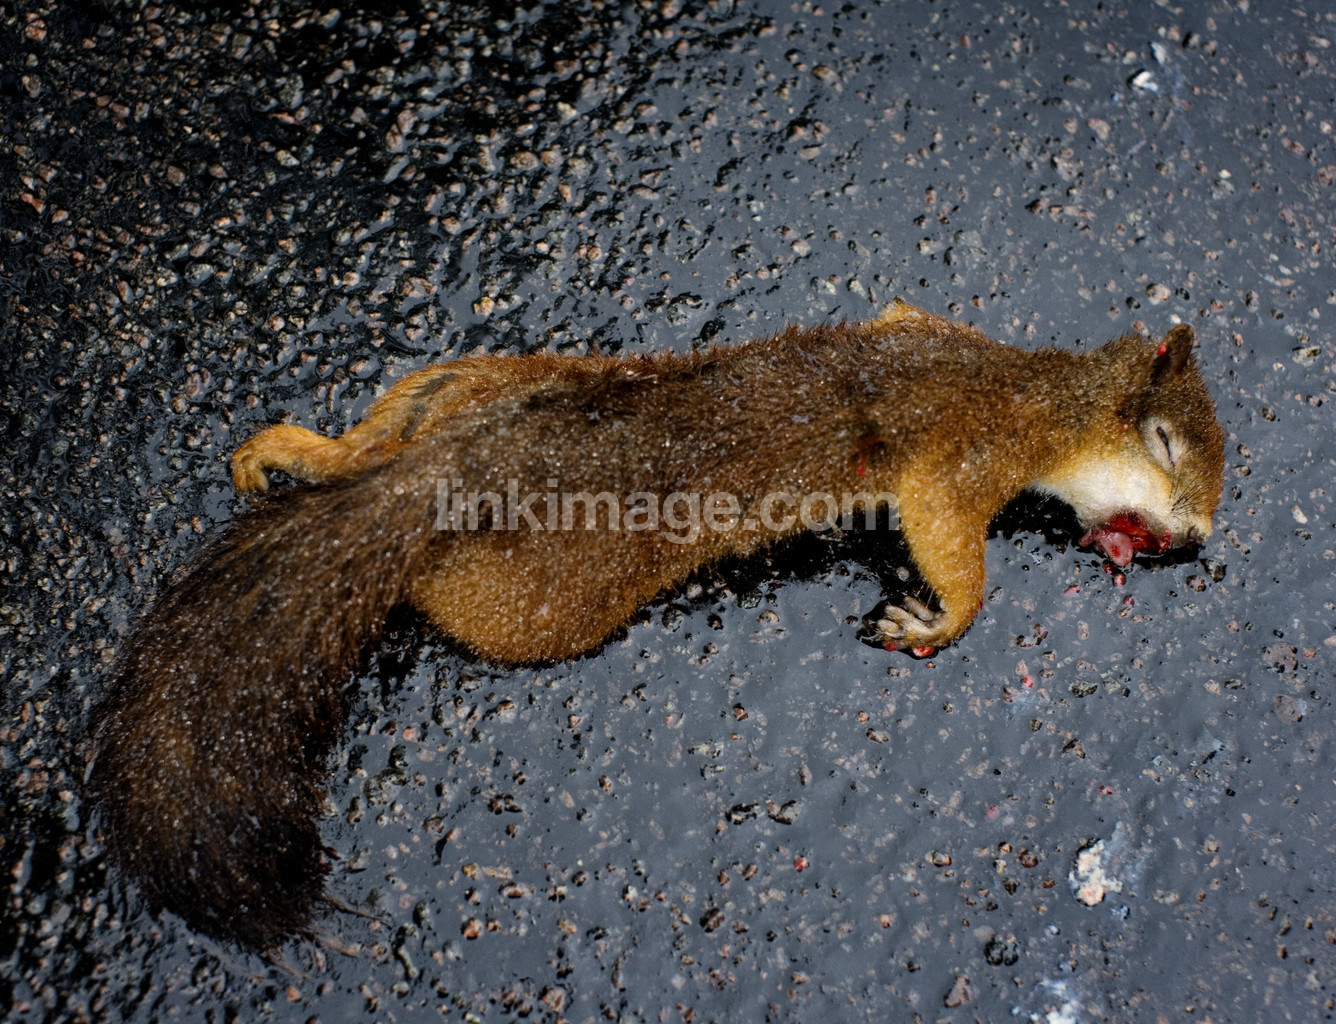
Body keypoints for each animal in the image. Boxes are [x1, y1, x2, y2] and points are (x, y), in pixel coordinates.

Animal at [90, 300, 1226, 950]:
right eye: (1176, 457)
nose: (1199, 541)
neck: (1042, 390)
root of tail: (451, 473)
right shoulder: (968, 461)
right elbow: (950, 547)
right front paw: (934, 621)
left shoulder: (929, 327)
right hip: (538, 598)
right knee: (423, 586)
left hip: (466, 383)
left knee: (380, 432)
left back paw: (299, 449)